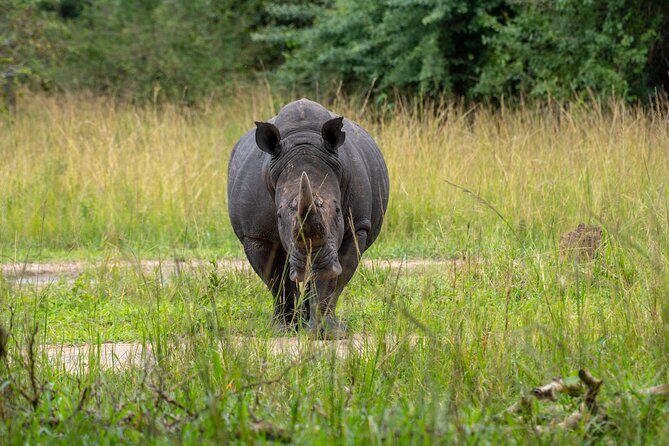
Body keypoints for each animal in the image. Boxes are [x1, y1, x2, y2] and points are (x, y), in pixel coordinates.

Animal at [227, 99, 389, 338]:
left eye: (338, 211)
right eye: (279, 215)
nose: (313, 261)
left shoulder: (356, 227)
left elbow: (333, 281)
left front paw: (327, 333)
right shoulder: (256, 234)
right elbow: (277, 281)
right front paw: (282, 330)